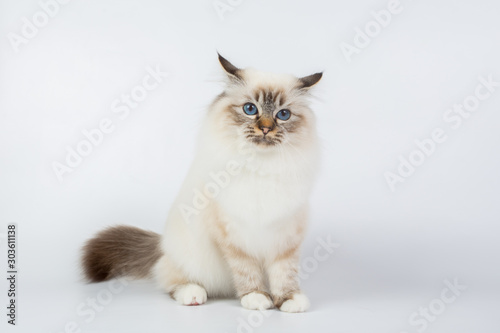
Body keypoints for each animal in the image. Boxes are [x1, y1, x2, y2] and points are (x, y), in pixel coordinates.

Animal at [81, 53, 324, 312]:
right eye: (250, 109)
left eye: (283, 114)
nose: (266, 129)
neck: (260, 166)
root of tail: (161, 245)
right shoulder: (233, 236)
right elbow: (246, 271)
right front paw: (256, 297)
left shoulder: (286, 236)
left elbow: (284, 273)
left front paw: (288, 300)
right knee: (171, 279)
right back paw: (193, 294)